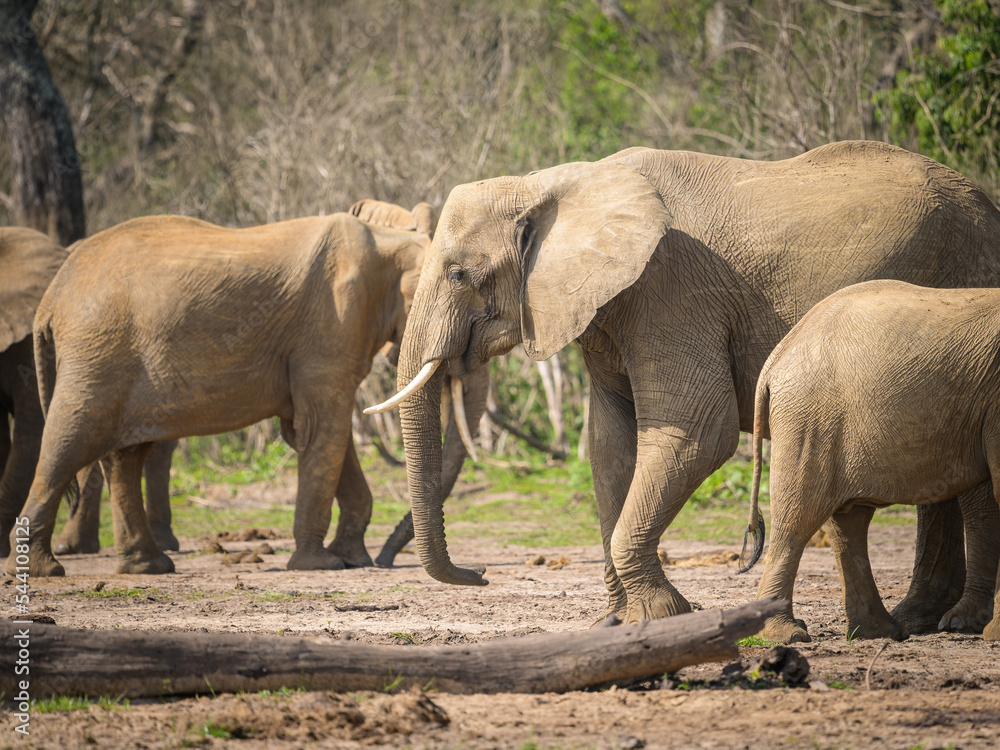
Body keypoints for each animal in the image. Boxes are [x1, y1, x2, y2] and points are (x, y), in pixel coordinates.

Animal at [7, 201, 484, 577]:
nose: (387, 561)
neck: (391, 243)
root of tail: (51, 300)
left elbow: (320, 432)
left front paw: (352, 559)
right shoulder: (331, 323)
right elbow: (323, 429)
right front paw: (322, 565)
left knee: (124, 456)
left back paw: (147, 567)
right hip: (97, 353)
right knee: (68, 443)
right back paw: (44, 570)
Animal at [740, 279, 1000, 643]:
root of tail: (778, 355)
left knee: (849, 520)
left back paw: (878, 632)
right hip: (811, 419)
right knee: (798, 518)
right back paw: (787, 635)